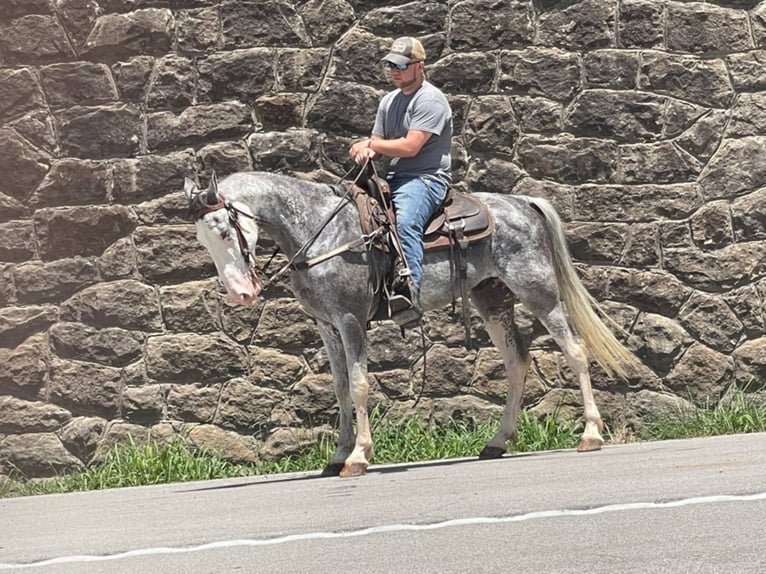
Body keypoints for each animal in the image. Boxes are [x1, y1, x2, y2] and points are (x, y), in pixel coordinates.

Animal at [186, 171, 640, 476]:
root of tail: (525, 203)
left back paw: (590, 435)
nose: (240, 294)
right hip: (491, 300)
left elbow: (359, 385)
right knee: (517, 362)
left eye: (225, 230)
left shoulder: (351, 320)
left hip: (539, 293)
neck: (321, 231)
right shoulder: (326, 325)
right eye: (201, 240)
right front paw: (337, 456)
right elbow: (340, 389)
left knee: (575, 350)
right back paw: (497, 441)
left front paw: (358, 456)